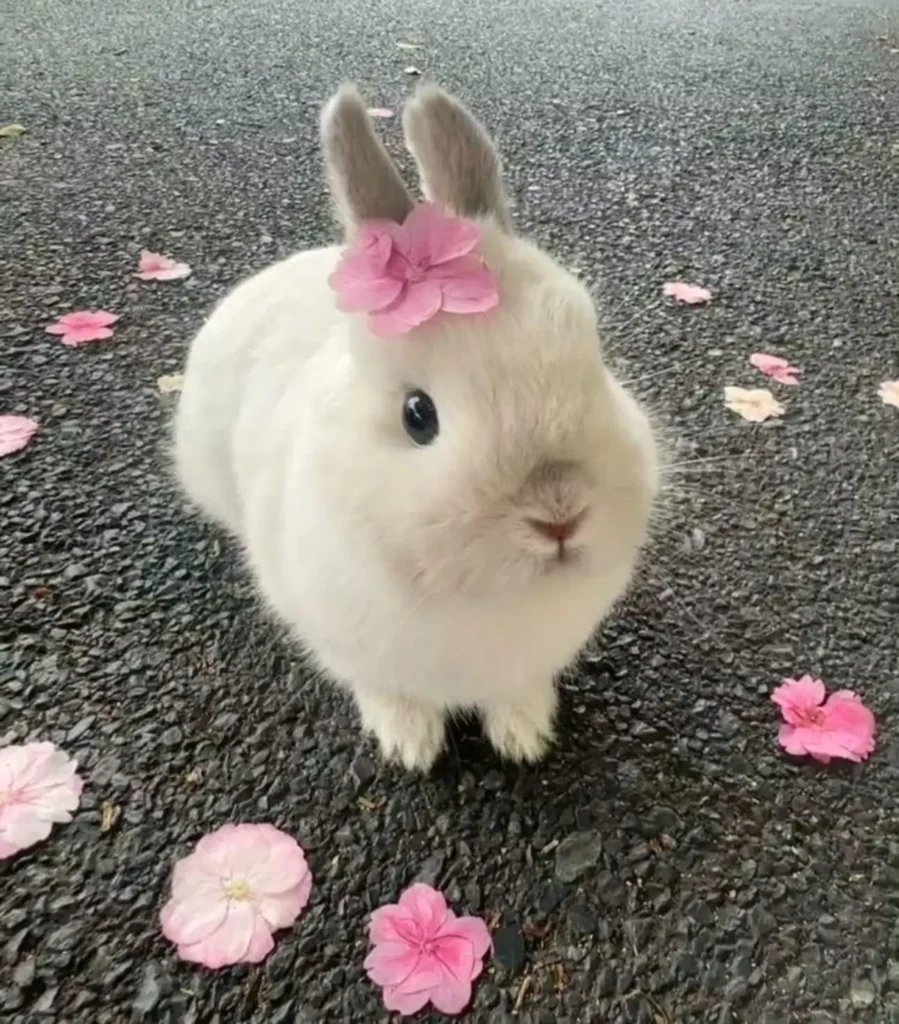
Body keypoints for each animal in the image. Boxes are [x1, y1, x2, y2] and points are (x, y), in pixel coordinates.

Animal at [174, 82, 660, 772]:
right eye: (418, 416)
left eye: (593, 355)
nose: (559, 514)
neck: (482, 600)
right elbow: (389, 691)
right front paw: (409, 745)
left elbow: (516, 692)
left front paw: (525, 736)